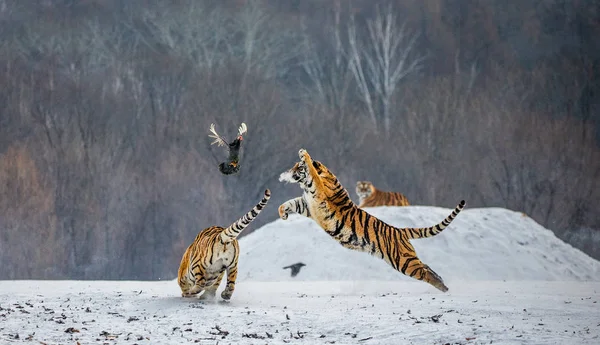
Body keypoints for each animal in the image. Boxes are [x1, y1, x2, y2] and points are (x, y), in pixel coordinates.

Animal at [278, 149, 466, 292]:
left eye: (298, 167)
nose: (288, 173)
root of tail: (399, 230)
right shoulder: (308, 205)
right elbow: (290, 203)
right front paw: (283, 213)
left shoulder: (317, 191)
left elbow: (311, 172)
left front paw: (304, 154)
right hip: (407, 259)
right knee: (426, 266)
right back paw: (442, 282)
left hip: (403, 261)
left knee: (424, 271)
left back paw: (443, 287)